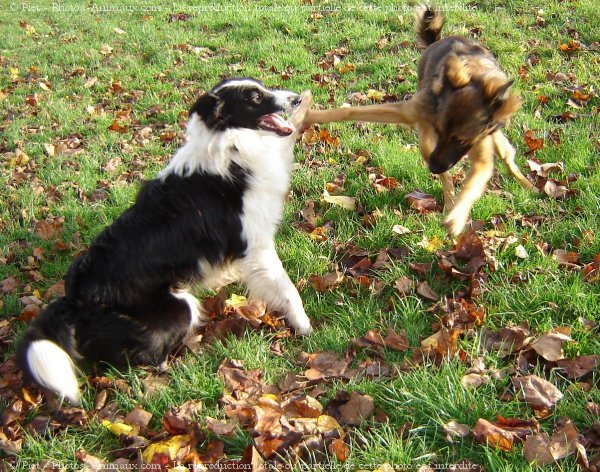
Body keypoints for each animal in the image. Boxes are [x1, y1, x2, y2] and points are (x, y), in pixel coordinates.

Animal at [16, 79, 312, 404]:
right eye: (255, 97)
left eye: (261, 87)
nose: (297, 99)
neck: (231, 145)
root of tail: (72, 299)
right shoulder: (257, 246)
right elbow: (288, 289)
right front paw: (305, 325)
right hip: (179, 306)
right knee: (147, 356)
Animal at [308, 6, 532, 235]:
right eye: (439, 131)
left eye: (460, 140)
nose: (432, 167)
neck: (474, 74)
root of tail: (437, 41)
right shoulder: (410, 113)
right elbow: (350, 112)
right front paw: (310, 114)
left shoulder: (480, 152)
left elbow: (473, 182)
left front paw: (457, 218)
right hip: (425, 142)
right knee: (447, 176)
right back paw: (450, 199)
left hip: (489, 141)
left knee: (506, 156)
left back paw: (526, 185)